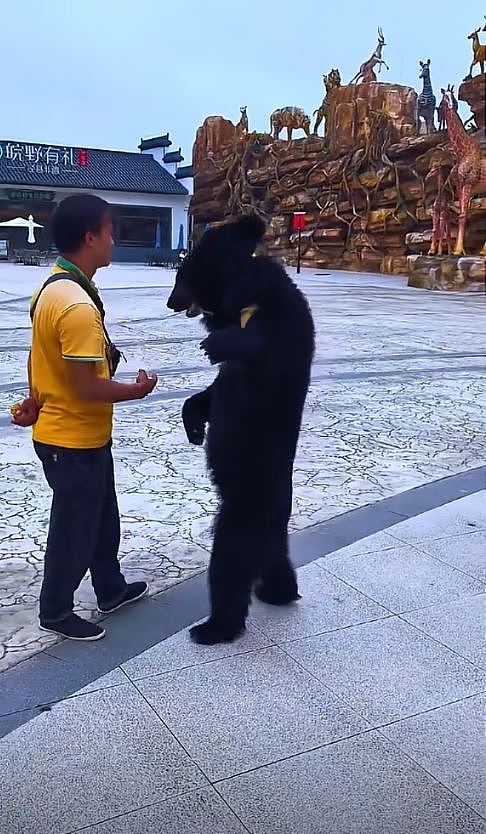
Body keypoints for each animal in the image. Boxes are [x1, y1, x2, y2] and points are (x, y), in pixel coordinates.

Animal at [167, 215, 315, 645]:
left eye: (180, 276)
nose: (170, 302)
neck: (244, 300)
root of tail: (275, 524)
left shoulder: (281, 324)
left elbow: (268, 344)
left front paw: (217, 343)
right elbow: (213, 393)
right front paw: (194, 426)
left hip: (240, 517)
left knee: (228, 569)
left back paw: (213, 627)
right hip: (267, 536)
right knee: (275, 565)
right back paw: (280, 592)